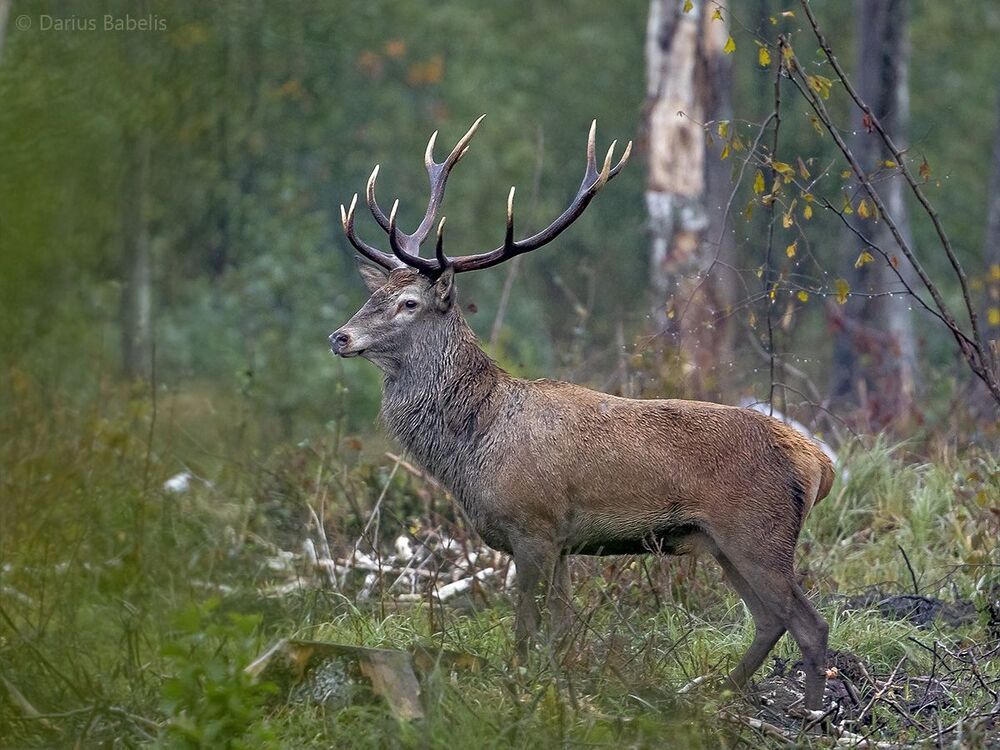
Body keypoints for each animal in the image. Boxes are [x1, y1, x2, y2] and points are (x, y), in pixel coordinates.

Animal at [329, 116, 835, 711]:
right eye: (374, 294)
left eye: (409, 303)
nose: (340, 337)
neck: (472, 448)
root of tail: (819, 462)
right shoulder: (565, 543)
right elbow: (561, 632)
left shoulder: (533, 527)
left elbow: (525, 631)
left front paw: (517, 691)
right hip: (725, 545)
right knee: (771, 621)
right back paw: (711, 698)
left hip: (758, 533)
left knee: (809, 624)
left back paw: (810, 712)